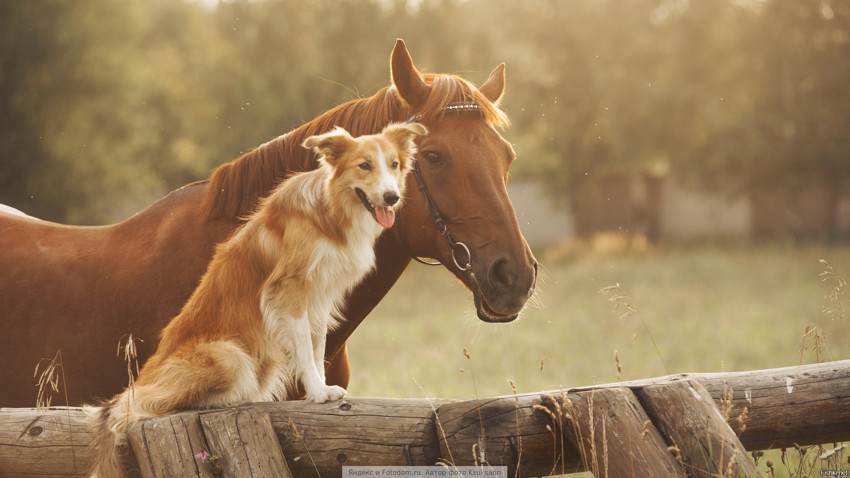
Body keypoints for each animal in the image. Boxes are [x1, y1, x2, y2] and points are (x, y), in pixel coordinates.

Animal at [86, 121, 424, 476]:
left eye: (394, 164)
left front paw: (320, 388)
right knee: (139, 404)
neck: (330, 211)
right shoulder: (289, 291)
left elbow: (317, 347)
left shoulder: (320, 296)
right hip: (230, 356)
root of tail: (145, 376)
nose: (392, 197)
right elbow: (305, 348)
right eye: (364, 165)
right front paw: (318, 392)